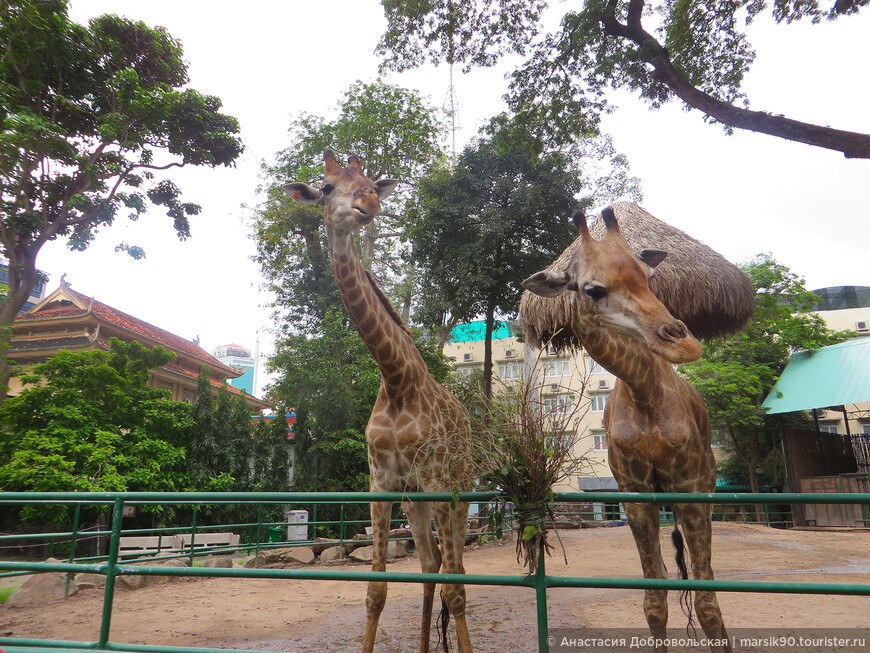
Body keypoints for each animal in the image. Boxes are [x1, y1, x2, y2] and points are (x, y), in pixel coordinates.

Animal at [286, 150, 476, 648]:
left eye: (371, 181)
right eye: (326, 187)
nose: (369, 202)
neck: (395, 379)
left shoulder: (436, 479)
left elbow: (455, 589)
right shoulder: (382, 480)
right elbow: (376, 590)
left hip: (460, 488)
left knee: (455, 572)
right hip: (416, 498)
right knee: (431, 565)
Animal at [520, 208, 732, 652]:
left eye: (649, 277)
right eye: (593, 289)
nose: (684, 344)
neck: (643, 391)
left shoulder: (688, 485)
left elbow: (707, 600)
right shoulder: (635, 492)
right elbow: (655, 595)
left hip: (706, 483)